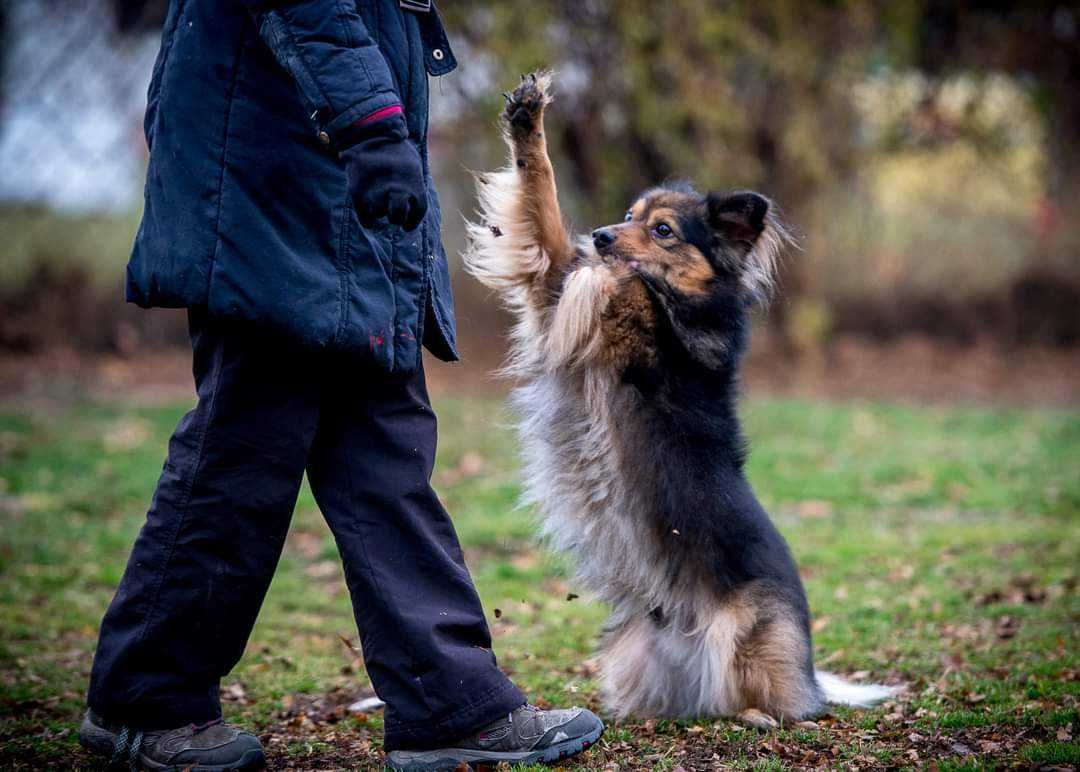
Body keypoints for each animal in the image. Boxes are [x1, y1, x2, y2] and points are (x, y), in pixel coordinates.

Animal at [464, 72, 894, 729]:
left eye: (662, 229)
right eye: (627, 216)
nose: (603, 236)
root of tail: (812, 676)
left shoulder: (630, 324)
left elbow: (628, 281)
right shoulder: (553, 281)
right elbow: (544, 210)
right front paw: (527, 121)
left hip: (750, 631)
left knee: (774, 700)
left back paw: (757, 714)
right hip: (631, 647)